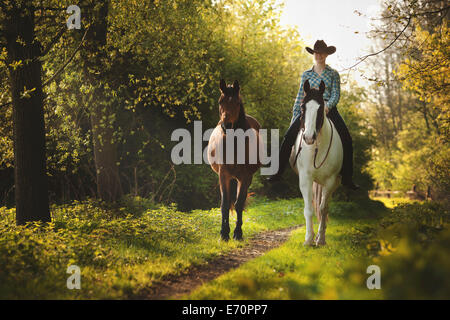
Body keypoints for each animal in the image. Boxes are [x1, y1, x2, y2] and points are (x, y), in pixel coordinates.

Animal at [209, 79, 262, 240]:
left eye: (237, 103)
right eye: (220, 101)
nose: (226, 125)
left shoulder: (244, 177)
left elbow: (239, 204)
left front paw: (237, 233)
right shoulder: (223, 175)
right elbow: (225, 204)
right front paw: (223, 233)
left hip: (244, 178)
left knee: (241, 202)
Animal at [288, 79, 344, 245]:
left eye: (320, 108)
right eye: (302, 107)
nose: (308, 137)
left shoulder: (330, 181)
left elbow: (323, 208)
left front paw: (320, 239)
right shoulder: (305, 179)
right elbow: (309, 209)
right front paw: (308, 239)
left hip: (333, 184)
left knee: (324, 206)